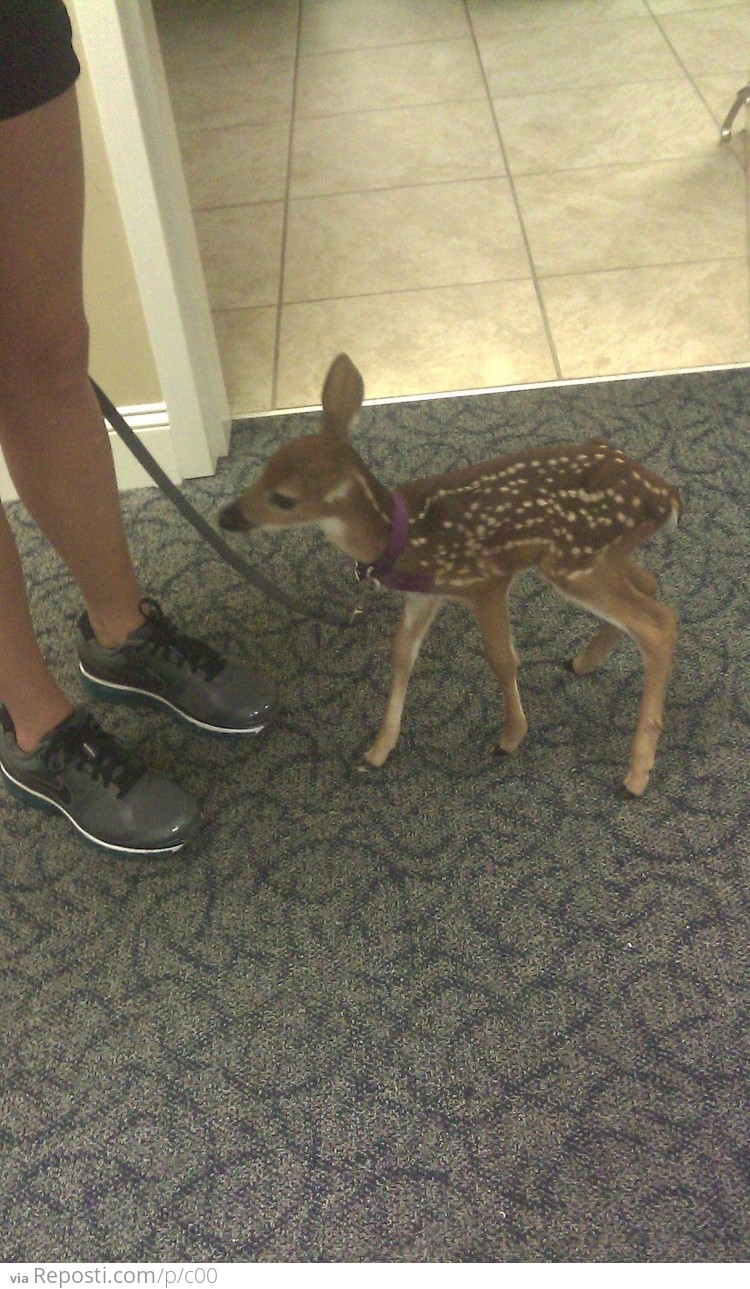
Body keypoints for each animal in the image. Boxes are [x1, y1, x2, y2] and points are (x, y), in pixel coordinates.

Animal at [220, 355, 685, 794]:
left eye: (283, 499)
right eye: (265, 468)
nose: (227, 516)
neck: (402, 537)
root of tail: (667, 496)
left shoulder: (486, 582)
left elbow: (501, 658)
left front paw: (511, 737)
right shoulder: (424, 596)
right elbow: (400, 654)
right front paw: (379, 749)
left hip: (572, 561)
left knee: (658, 622)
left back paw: (637, 773)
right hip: (601, 555)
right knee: (650, 586)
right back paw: (585, 662)